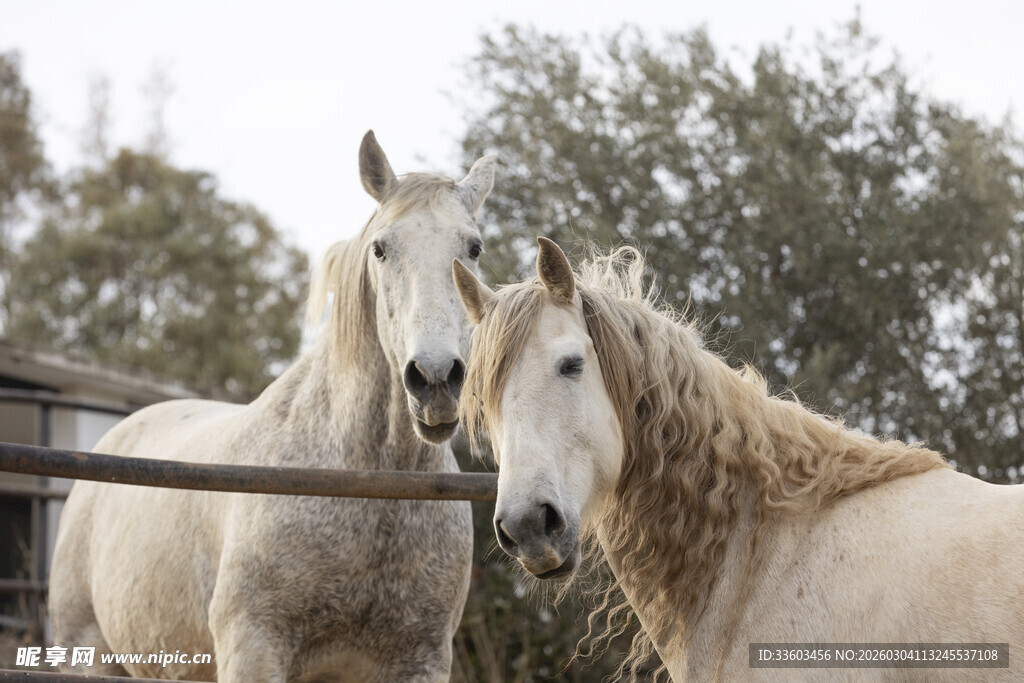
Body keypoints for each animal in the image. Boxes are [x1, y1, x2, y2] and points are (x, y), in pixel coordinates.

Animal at [48, 131, 495, 682]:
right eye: (380, 249)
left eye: (473, 247)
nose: (436, 379)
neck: (367, 485)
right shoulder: (253, 647)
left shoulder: (420, 660)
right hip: (86, 651)